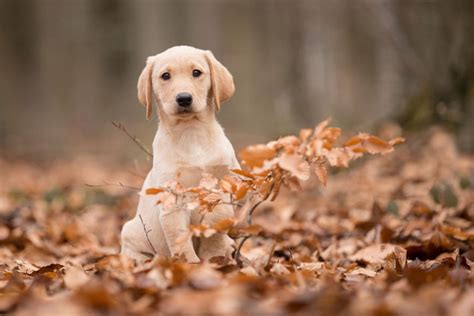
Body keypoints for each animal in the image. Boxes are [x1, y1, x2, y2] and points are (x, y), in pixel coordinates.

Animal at [120, 45, 239, 262]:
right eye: (165, 76)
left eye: (196, 73)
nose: (184, 98)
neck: (190, 133)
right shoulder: (173, 201)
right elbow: (180, 240)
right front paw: (192, 265)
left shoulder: (222, 182)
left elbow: (218, 218)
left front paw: (214, 257)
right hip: (131, 239)